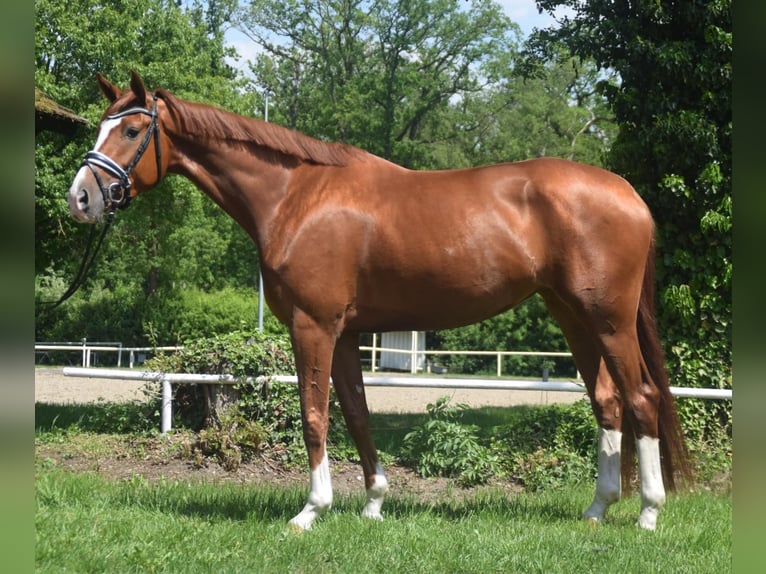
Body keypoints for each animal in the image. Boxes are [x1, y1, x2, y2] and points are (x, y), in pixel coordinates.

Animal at [68, 71, 691, 531]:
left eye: (130, 131)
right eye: (101, 127)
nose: (80, 198)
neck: (297, 196)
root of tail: (629, 195)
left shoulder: (313, 326)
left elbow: (314, 415)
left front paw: (310, 511)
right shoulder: (344, 333)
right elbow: (357, 414)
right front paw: (373, 503)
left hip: (608, 320)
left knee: (641, 397)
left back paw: (649, 513)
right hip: (573, 316)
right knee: (606, 400)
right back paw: (597, 509)